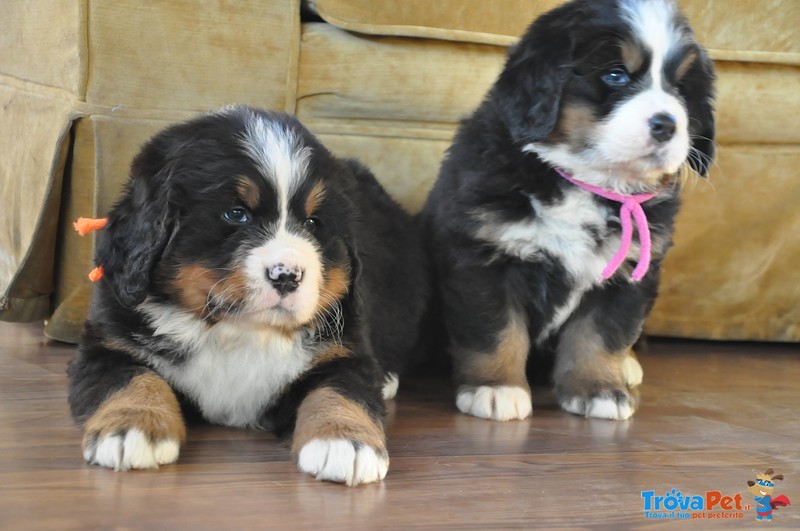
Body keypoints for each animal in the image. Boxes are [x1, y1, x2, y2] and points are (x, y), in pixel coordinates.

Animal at [69, 105, 432, 486]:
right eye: (236, 213)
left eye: (313, 223)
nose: (287, 275)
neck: (236, 332)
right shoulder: (109, 344)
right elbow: (132, 379)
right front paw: (132, 427)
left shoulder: (343, 350)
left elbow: (340, 390)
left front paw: (344, 442)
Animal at [422, 1, 716, 424]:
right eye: (615, 74)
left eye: (679, 87)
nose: (667, 125)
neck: (584, 180)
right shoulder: (483, 257)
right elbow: (495, 330)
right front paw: (495, 389)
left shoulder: (627, 273)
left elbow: (601, 336)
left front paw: (599, 390)